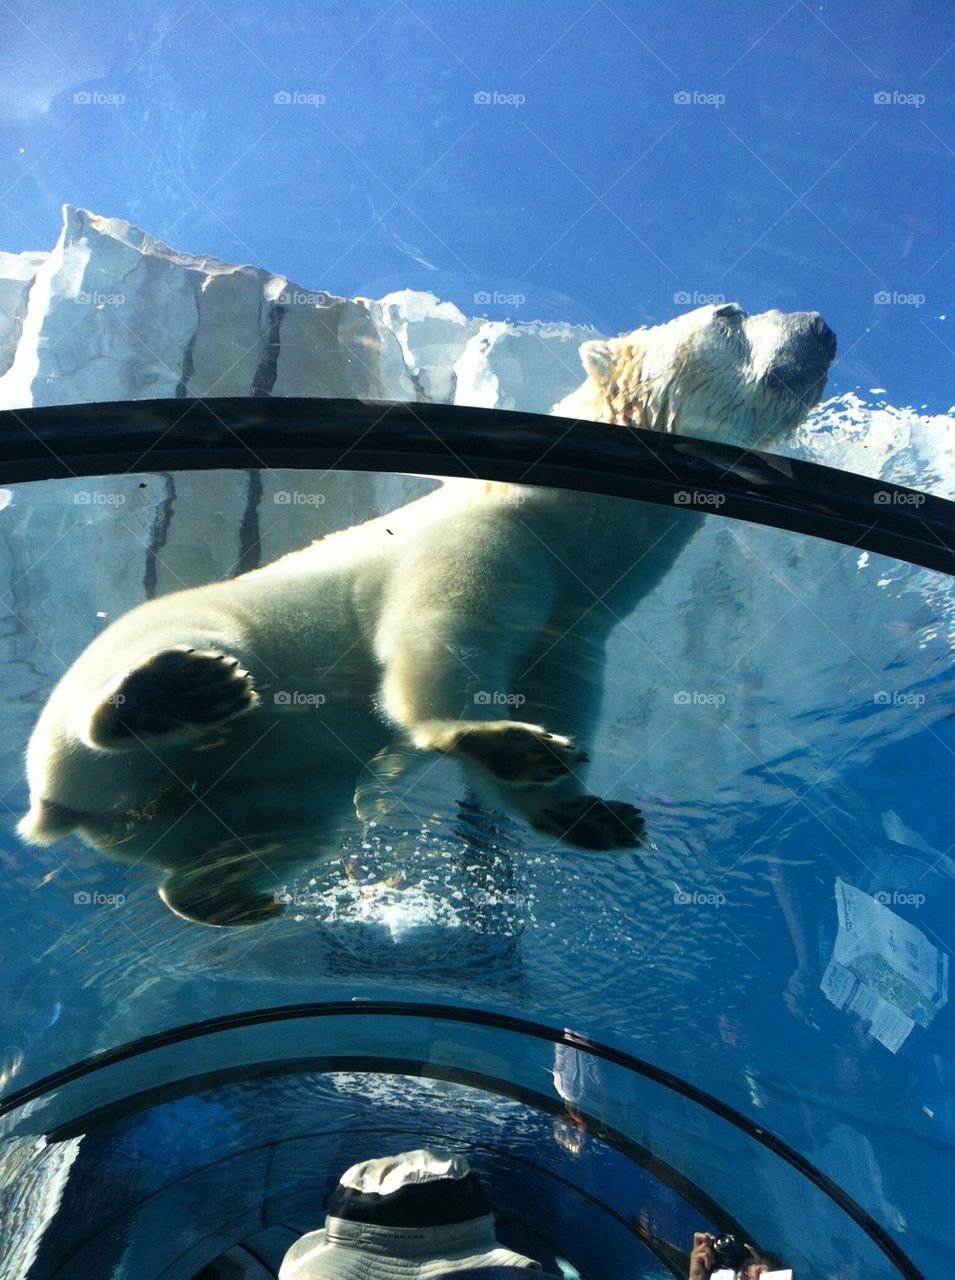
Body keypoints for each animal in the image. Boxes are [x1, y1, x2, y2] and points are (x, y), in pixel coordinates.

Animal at [18, 303, 836, 926]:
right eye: (728, 314)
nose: (821, 326)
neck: (568, 520)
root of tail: (61, 809)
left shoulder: (574, 621)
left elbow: (555, 686)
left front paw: (588, 813)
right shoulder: (492, 540)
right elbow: (441, 630)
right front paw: (496, 740)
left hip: (260, 803)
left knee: (274, 838)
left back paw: (229, 897)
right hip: (179, 634)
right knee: (160, 677)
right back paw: (172, 694)